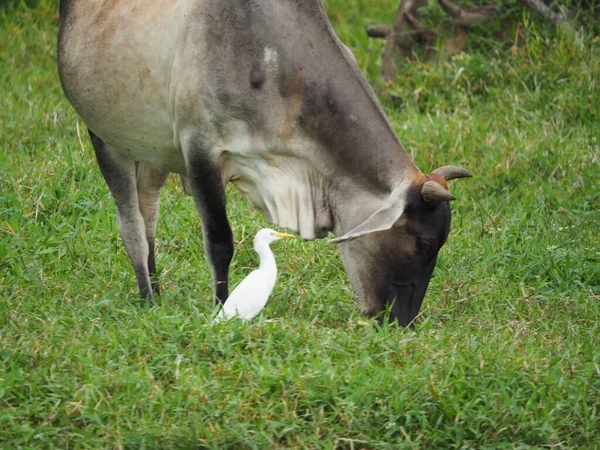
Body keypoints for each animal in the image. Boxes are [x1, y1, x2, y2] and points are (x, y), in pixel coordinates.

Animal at [57, 0, 468, 326]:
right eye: (424, 242)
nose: (403, 321)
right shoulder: (200, 149)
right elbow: (220, 242)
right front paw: (221, 307)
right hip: (105, 137)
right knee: (132, 226)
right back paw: (147, 299)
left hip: (150, 152)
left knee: (149, 218)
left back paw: (157, 291)